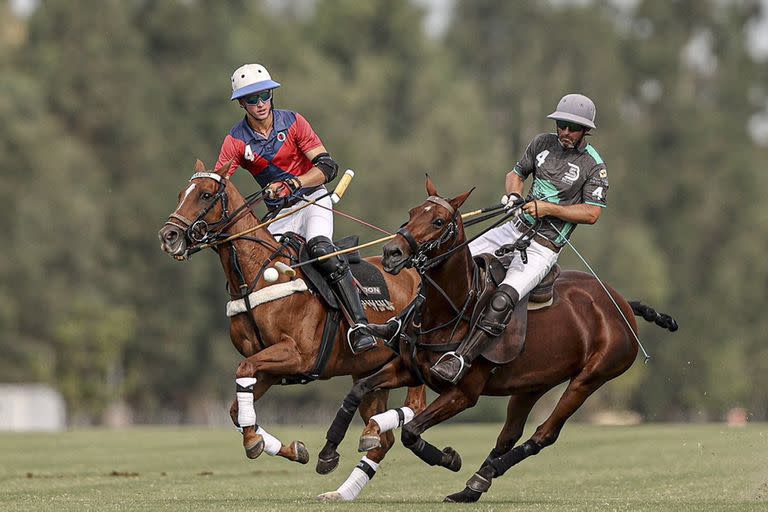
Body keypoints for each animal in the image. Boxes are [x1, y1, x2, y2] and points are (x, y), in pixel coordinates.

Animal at [158, 161, 426, 500]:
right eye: (182, 194)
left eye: (205, 194)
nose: (168, 235)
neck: (256, 277)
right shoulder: (270, 366)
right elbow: (236, 408)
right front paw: (289, 448)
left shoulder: (298, 355)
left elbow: (242, 370)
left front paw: (254, 442)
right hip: (369, 369)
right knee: (383, 439)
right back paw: (344, 480)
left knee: (415, 407)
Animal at [318, 175, 680, 500]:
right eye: (412, 212)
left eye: (438, 221)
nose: (392, 252)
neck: (452, 309)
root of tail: (622, 305)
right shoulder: (409, 368)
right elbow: (358, 390)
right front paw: (329, 453)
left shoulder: (464, 392)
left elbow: (411, 431)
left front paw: (449, 458)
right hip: (534, 383)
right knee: (509, 434)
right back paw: (473, 486)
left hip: (591, 377)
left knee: (544, 434)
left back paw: (483, 475)